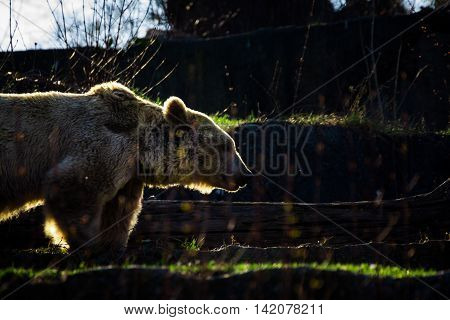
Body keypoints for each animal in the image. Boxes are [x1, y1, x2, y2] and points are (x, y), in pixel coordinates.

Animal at [0, 82, 250, 260]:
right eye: (226, 145)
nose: (245, 175)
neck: (140, 147)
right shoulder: (102, 147)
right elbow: (74, 187)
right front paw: (88, 244)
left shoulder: (129, 175)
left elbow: (119, 211)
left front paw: (112, 245)